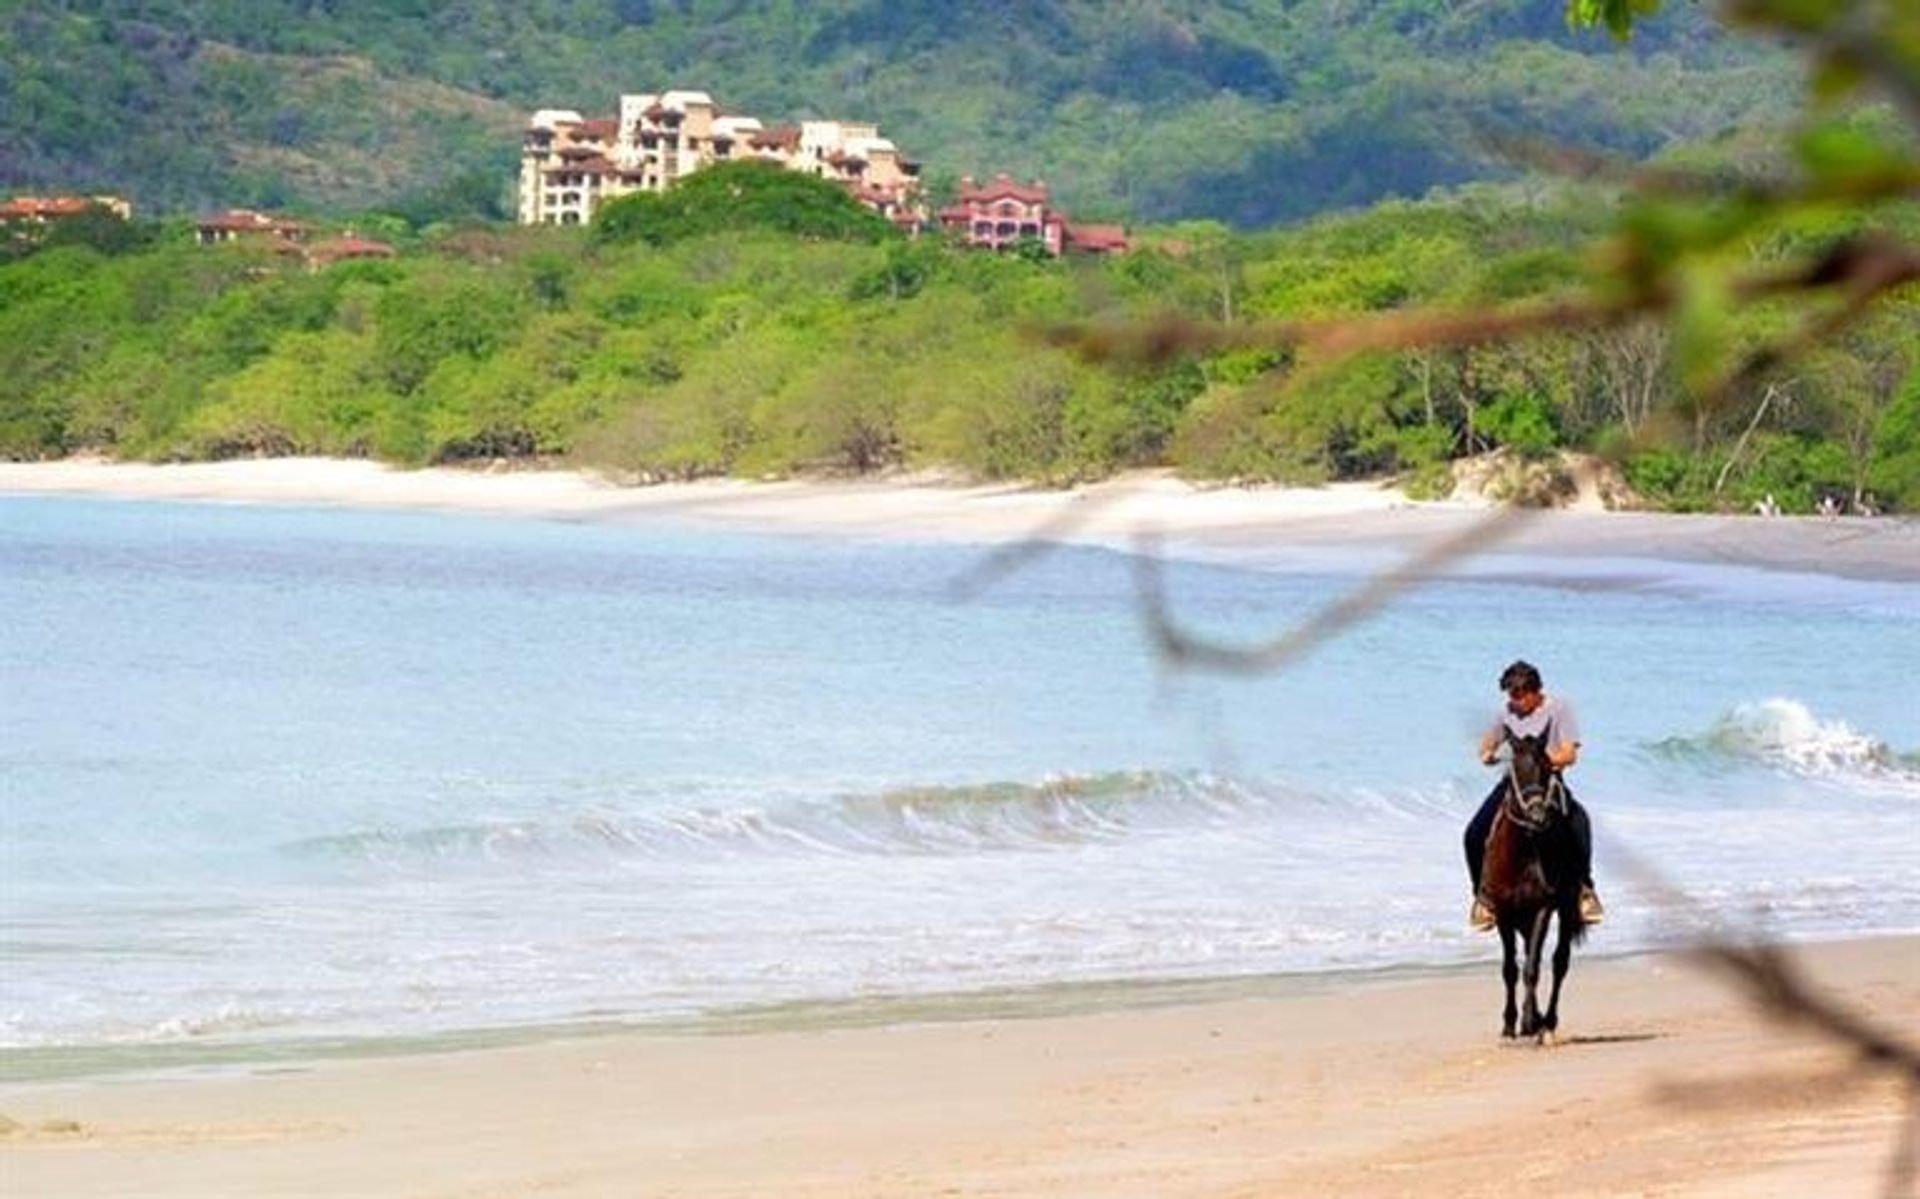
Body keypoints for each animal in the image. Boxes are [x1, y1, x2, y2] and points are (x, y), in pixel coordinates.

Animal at [1482, 730, 1589, 1037]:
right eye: (1515, 769)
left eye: (1547, 769)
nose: (1538, 816)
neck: (1524, 853)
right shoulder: (1504, 912)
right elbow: (1510, 969)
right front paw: (1509, 1024)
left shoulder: (1543, 907)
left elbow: (1532, 968)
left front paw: (1530, 1022)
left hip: (1565, 908)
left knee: (1559, 962)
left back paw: (1548, 1021)